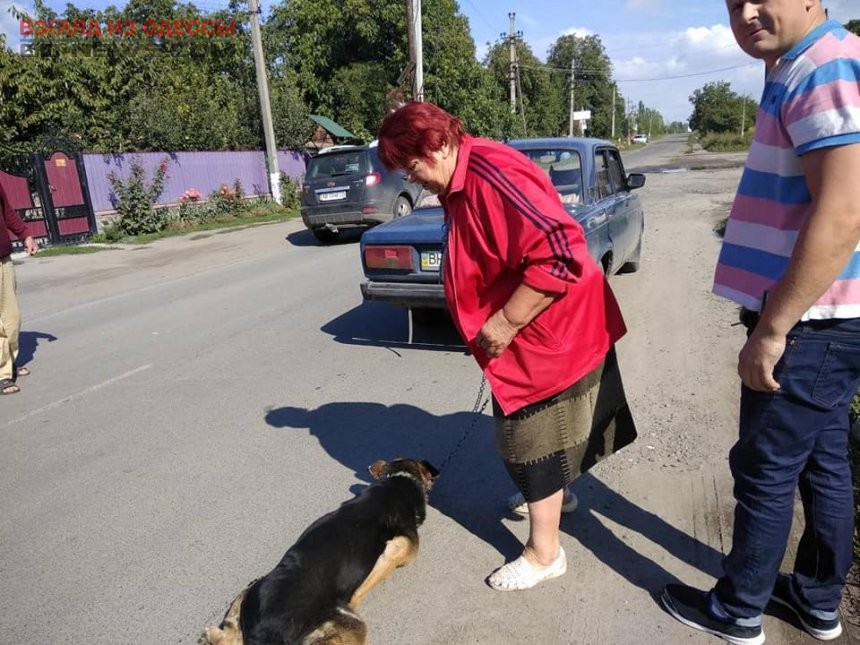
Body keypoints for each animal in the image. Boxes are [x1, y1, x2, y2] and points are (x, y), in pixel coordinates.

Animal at [202, 458, 440, 644]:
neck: (399, 480)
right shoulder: (404, 546)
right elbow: (384, 565)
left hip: (250, 589)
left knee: (228, 637)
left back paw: (210, 634)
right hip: (350, 625)